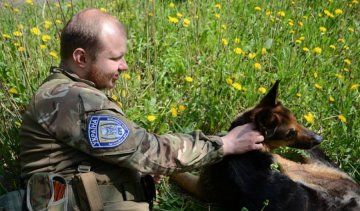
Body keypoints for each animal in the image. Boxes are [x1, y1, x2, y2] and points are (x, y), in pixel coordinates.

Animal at [172, 81, 360, 211]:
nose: (319, 138)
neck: (246, 154)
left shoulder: (199, 188)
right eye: (290, 133)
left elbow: (178, 174)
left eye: (297, 121)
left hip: (297, 169)